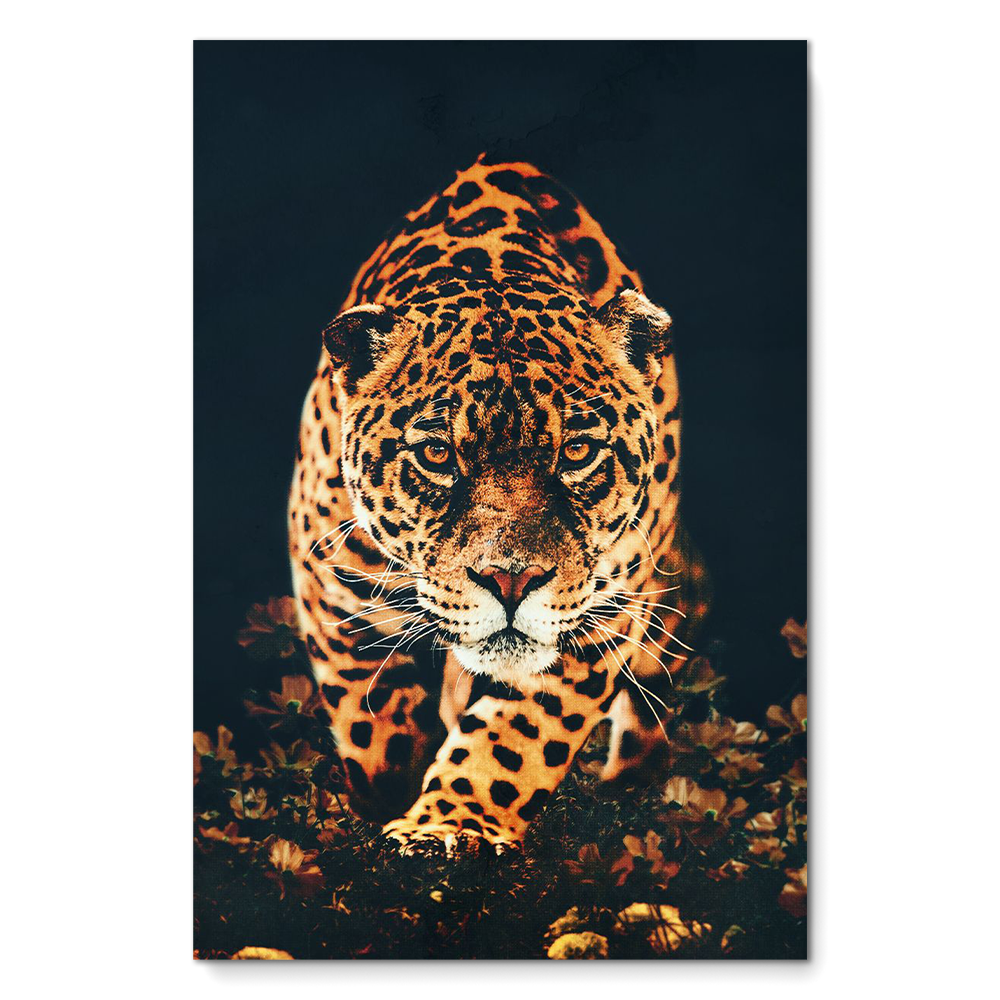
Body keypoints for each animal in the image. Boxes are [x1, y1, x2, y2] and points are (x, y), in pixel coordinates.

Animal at [288, 153, 710, 855]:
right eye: (437, 455)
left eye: (576, 451)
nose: (510, 581)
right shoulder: (332, 579)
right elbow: (371, 716)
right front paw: (388, 798)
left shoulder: (602, 609)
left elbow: (517, 737)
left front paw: (450, 824)